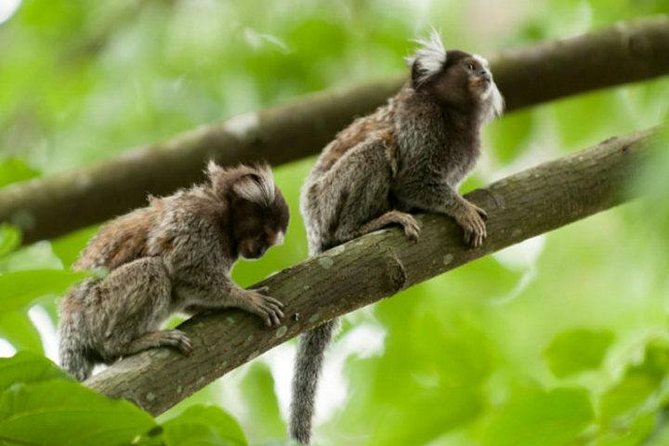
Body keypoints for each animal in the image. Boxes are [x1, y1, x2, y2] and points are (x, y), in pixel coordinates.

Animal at [62, 162, 290, 382]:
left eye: (268, 244)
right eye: (263, 236)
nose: (260, 252)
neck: (224, 219)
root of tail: (71, 331)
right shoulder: (197, 221)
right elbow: (182, 270)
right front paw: (245, 298)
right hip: (96, 311)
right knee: (152, 269)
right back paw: (125, 344)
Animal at [290, 30, 504, 442]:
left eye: (484, 68)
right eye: (471, 67)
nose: (485, 75)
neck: (454, 116)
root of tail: (314, 233)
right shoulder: (420, 123)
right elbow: (411, 178)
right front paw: (460, 209)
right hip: (327, 203)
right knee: (378, 147)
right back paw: (362, 227)